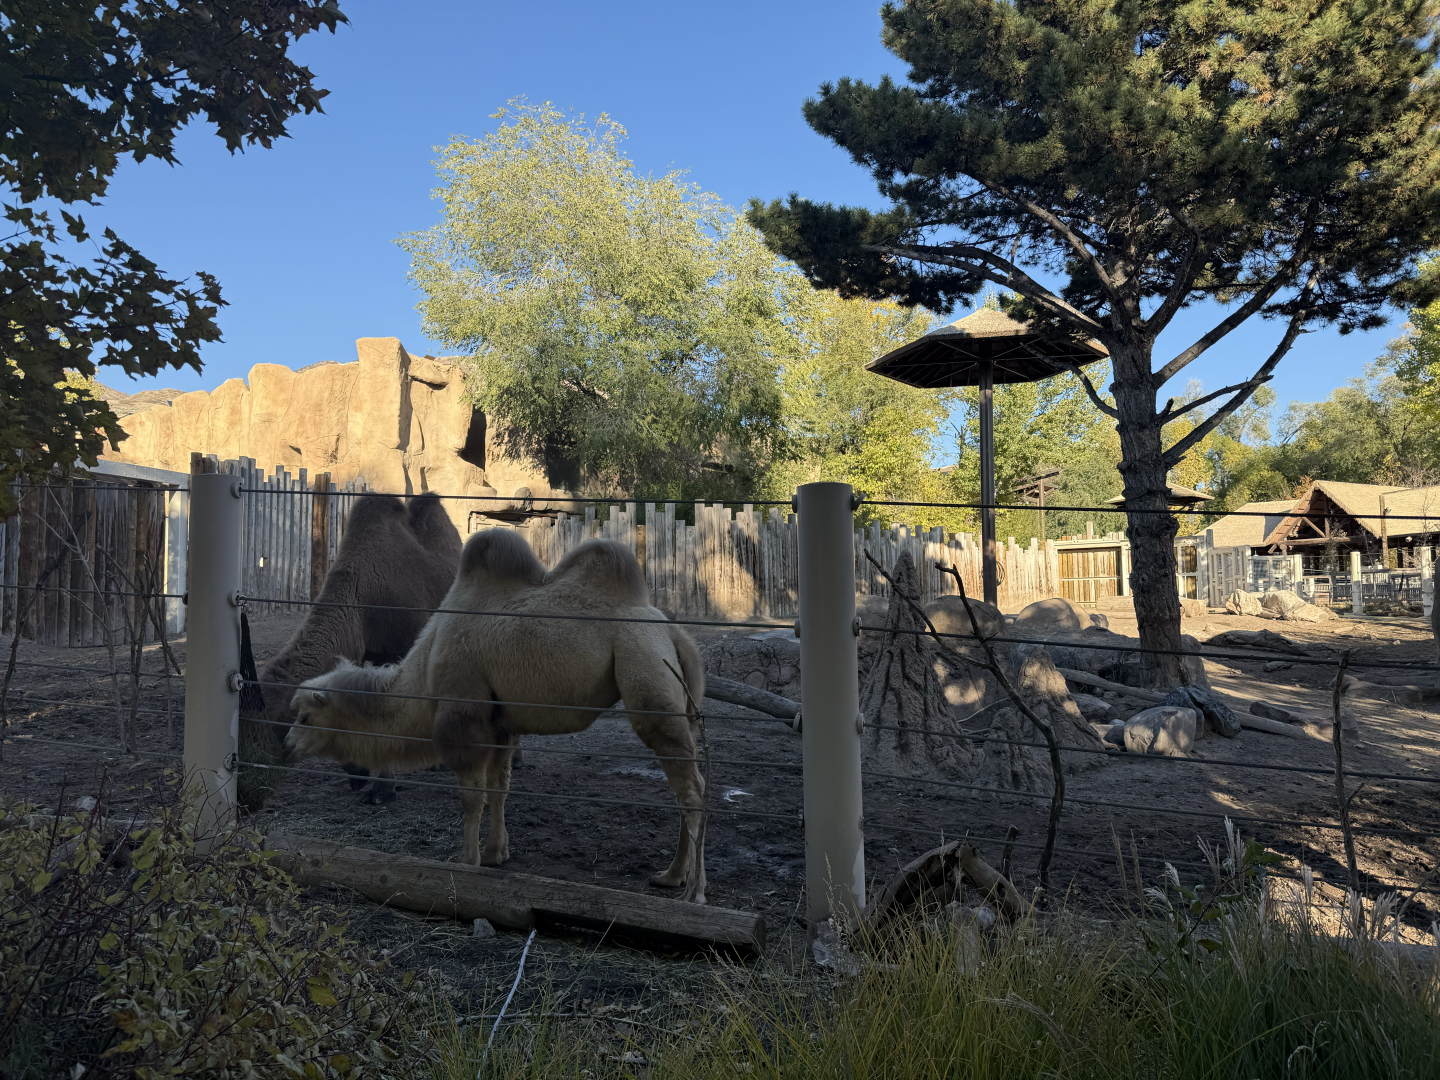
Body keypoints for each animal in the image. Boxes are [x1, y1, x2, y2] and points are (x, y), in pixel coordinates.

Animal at [240, 492, 460, 810]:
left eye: (260, 737)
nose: (245, 794)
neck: (361, 600)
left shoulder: (397, 654)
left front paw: (382, 790)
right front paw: (360, 773)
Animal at [285, 529, 710, 903]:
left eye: (304, 716)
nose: (287, 744)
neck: (425, 671)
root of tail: (674, 633)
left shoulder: (464, 715)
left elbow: (471, 796)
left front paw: (466, 861)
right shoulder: (500, 724)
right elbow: (499, 787)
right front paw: (496, 854)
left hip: (644, 668)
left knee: (691, 789)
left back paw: (694, 891)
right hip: (676, 694)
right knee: (686, 786)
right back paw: (671, 875)